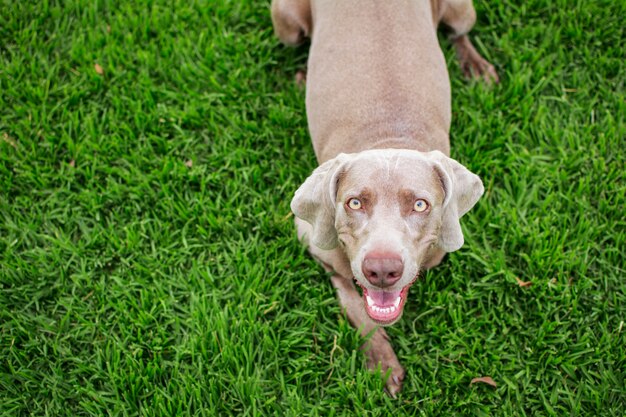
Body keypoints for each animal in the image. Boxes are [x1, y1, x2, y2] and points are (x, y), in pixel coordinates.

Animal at [270, 0, 494, 394]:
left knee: (460, 32)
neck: (387, 138)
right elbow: (358, 308)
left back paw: (476, 67)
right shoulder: (315, 244)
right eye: (354, 202)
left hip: (461, 12)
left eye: (420, 204)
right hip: (287, 23)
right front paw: (382, 363)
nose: (383, 270)